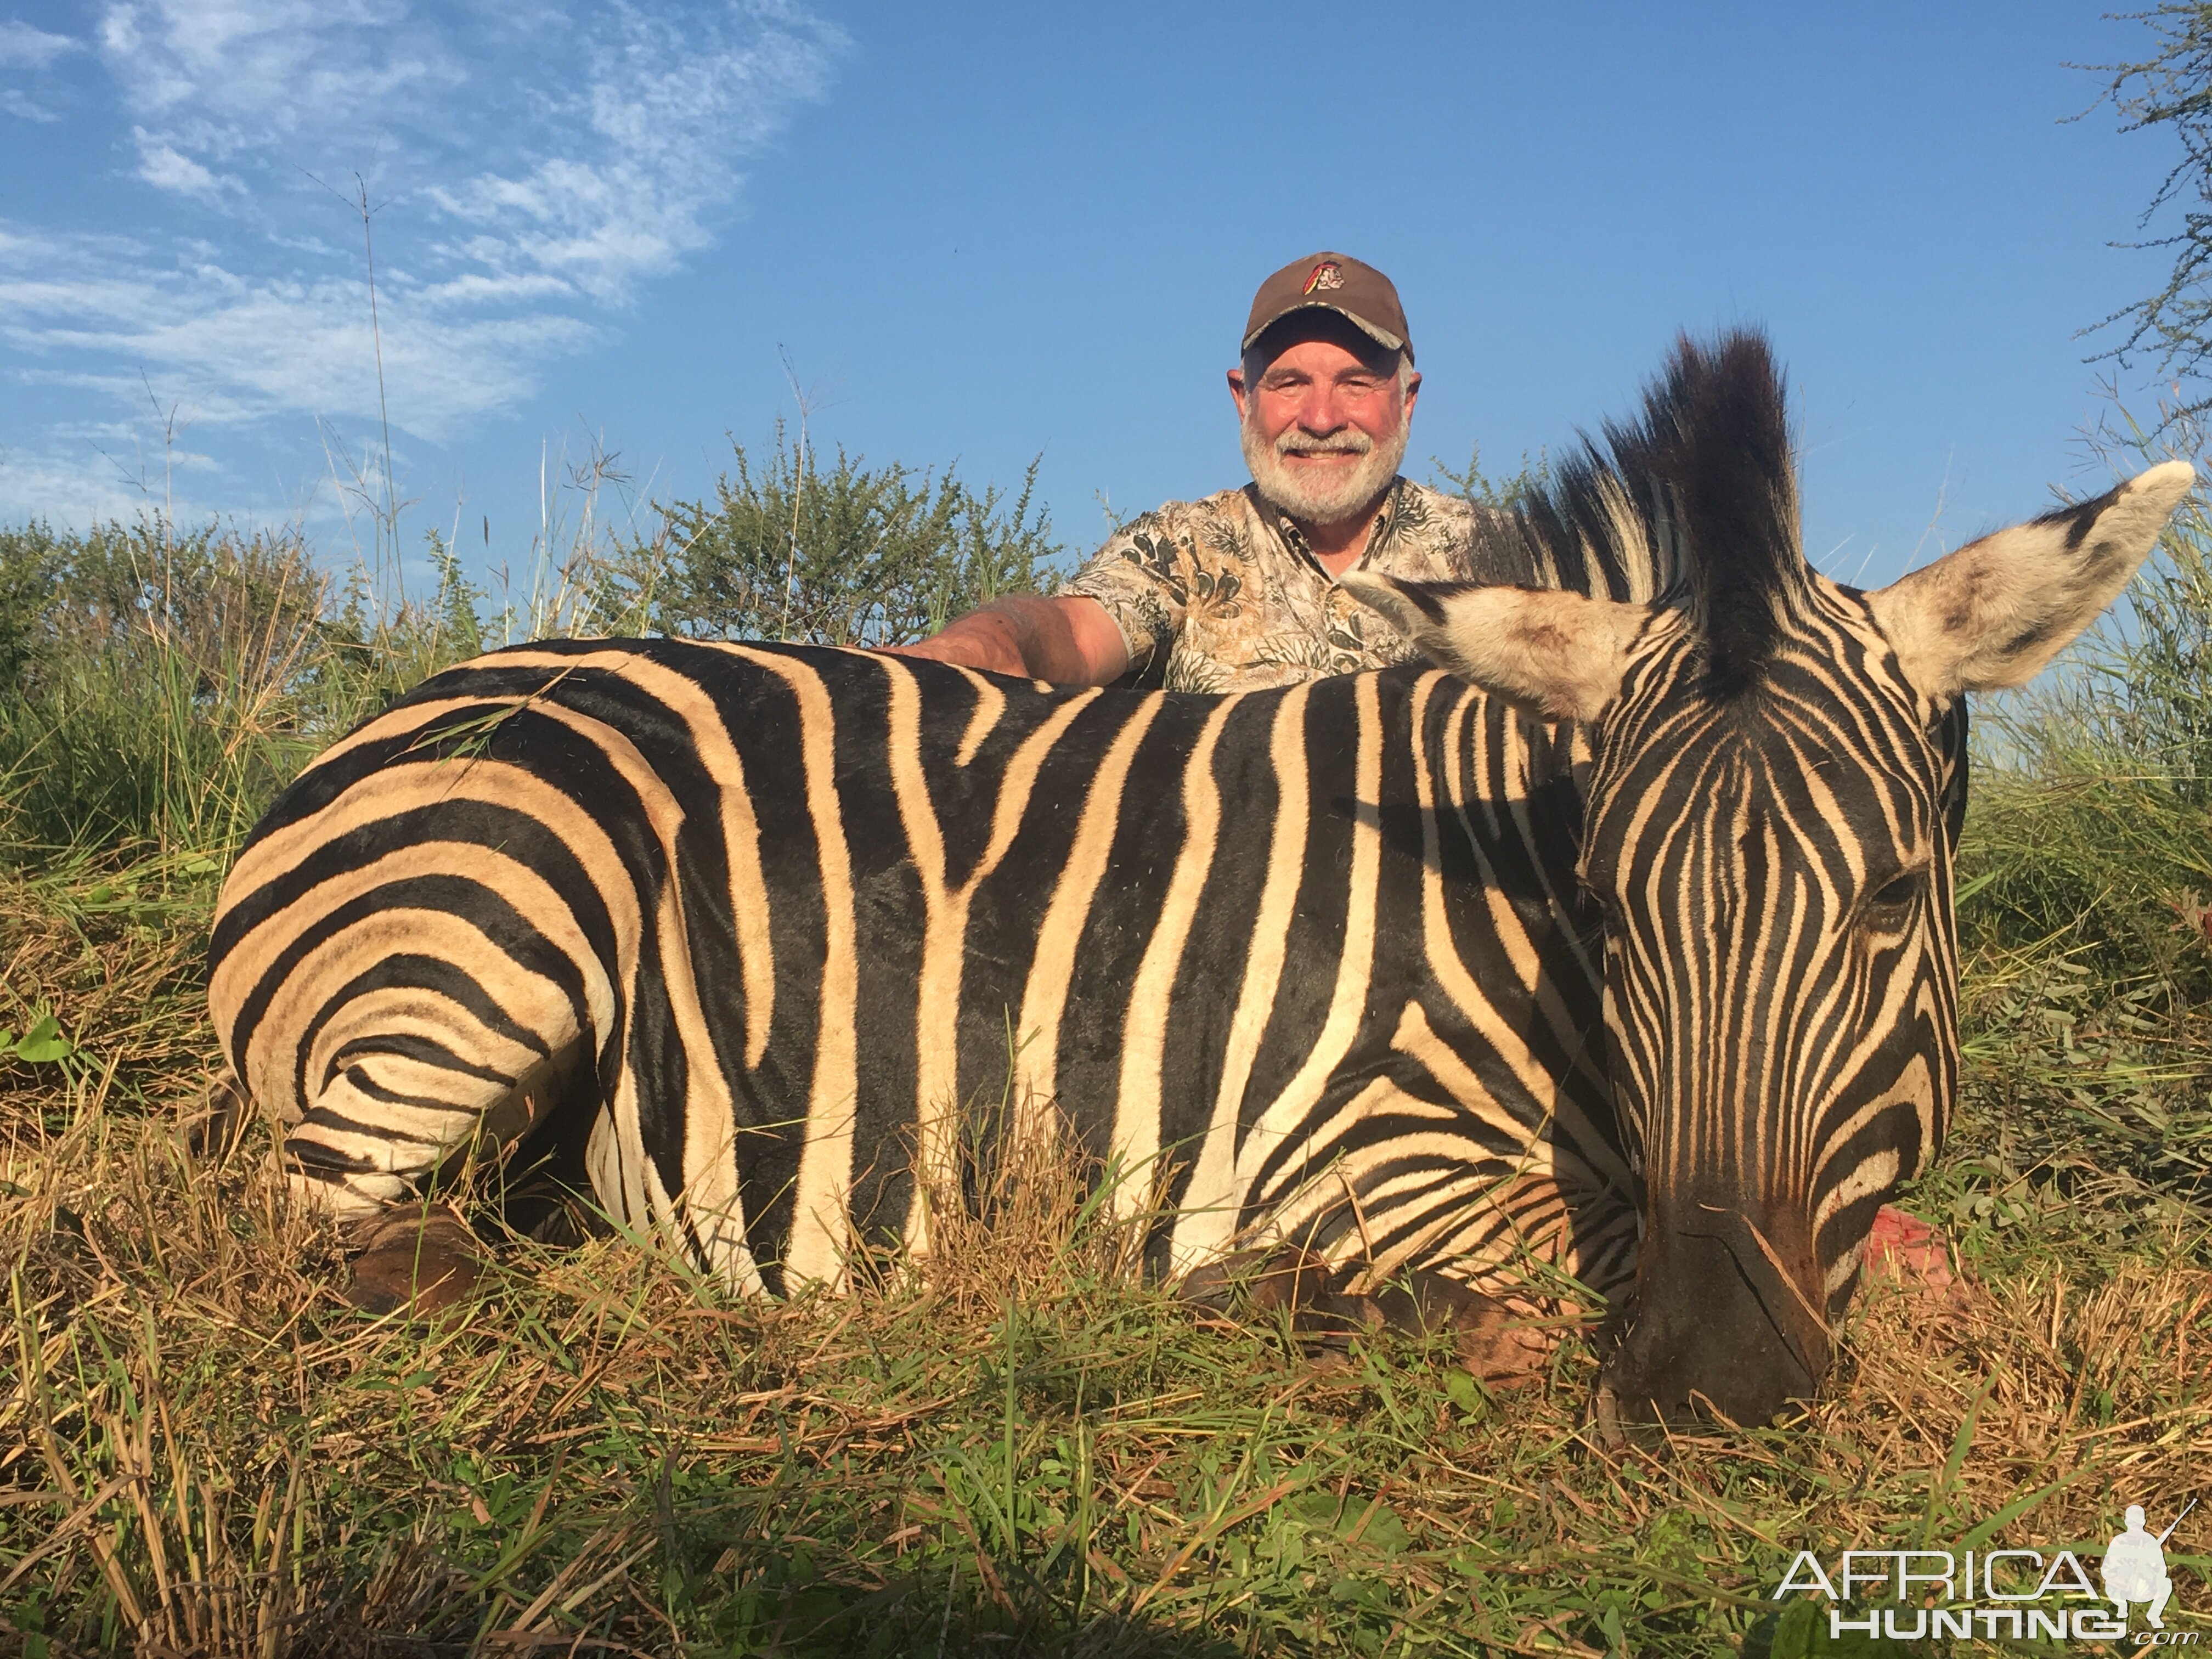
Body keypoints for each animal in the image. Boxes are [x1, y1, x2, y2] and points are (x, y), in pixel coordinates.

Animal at [211, 334, 2194, 1433]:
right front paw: (1299, 1302)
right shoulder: (1350, 1139)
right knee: (329, 1226)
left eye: (1892, 898)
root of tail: (389, 718)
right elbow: (1571, 1254)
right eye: (1610, 911)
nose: (1715, 1373)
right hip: (506, 935)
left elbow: (1917, 1263)